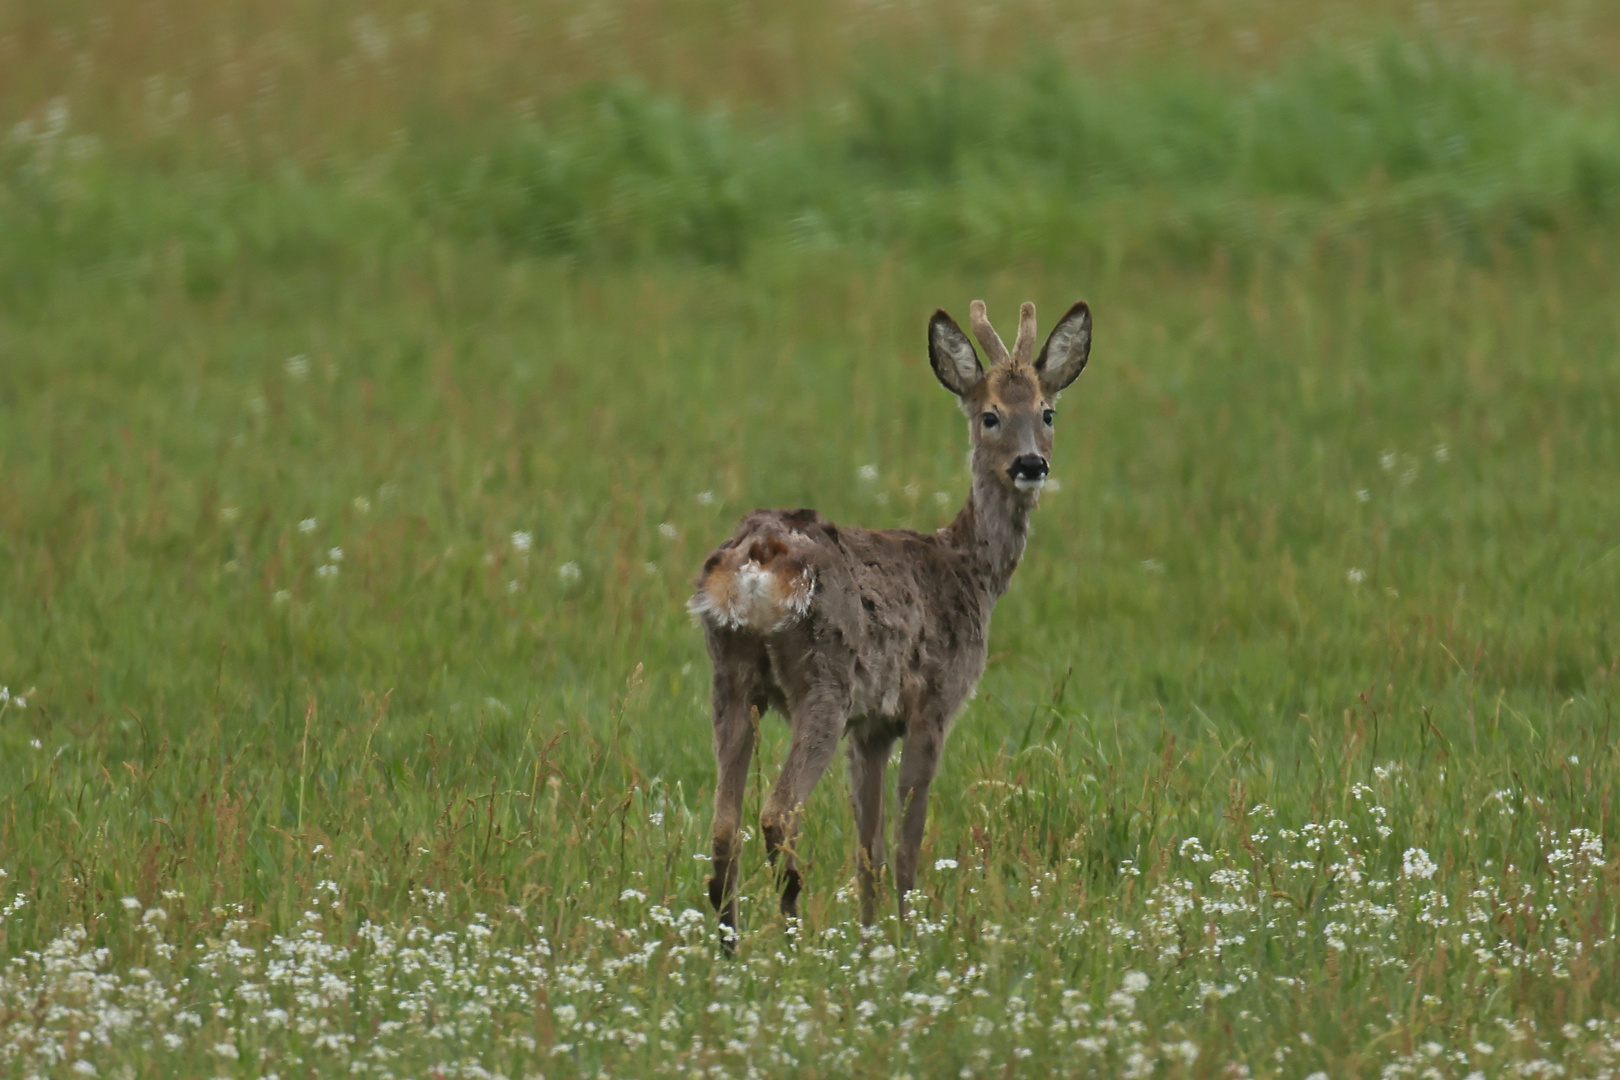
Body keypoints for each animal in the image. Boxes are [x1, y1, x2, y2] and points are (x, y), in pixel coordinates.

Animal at [686, 297, 1088, 939]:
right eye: (990, 416)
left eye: (1047, 412)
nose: (1031, 463)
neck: (972, 571)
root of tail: (756, 557)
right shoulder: (933, 701)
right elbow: (905, 843)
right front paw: (910, 933)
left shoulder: (871, 726)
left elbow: (866, 850)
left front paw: (873, 936)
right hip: (823, 681)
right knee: (777, 812)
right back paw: (793, 925)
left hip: (730, 675)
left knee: (725, 826)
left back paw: (733, 944)